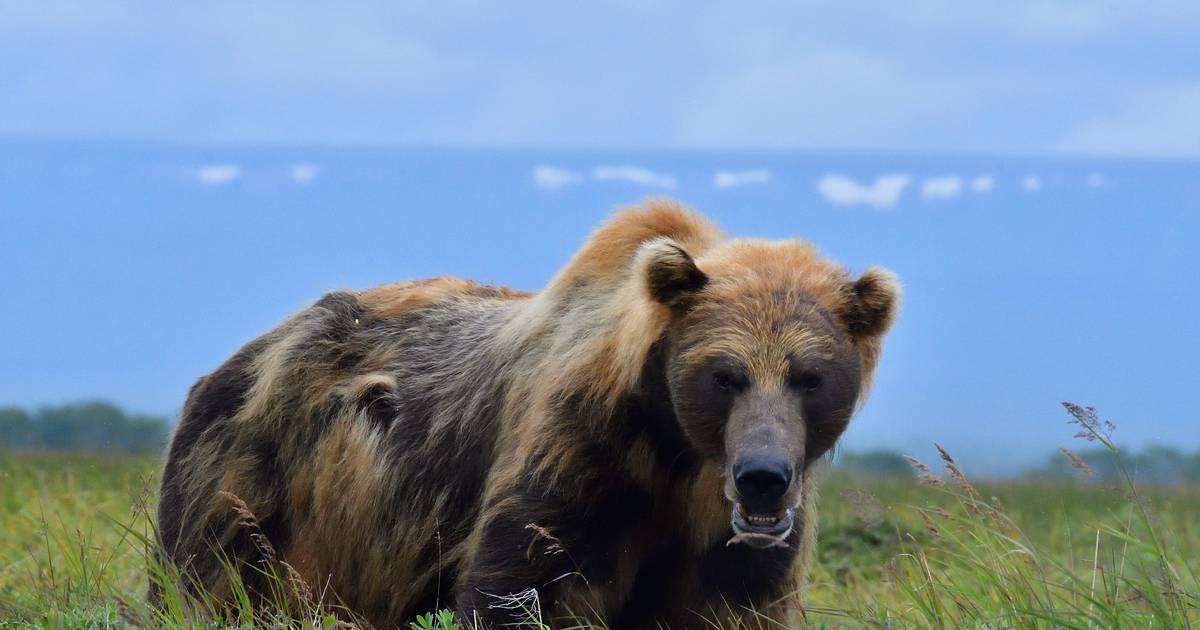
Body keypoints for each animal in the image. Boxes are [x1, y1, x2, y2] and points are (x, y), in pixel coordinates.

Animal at [152, 199, 902, 624]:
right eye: (725, 375)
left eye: (810, 378)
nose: (763, 476)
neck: (673, 455)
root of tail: (249, 350)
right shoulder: (577, 454)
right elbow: (520, 587)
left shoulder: (724, 542)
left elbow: (733, 603)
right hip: (257, 481)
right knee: (211, 583)